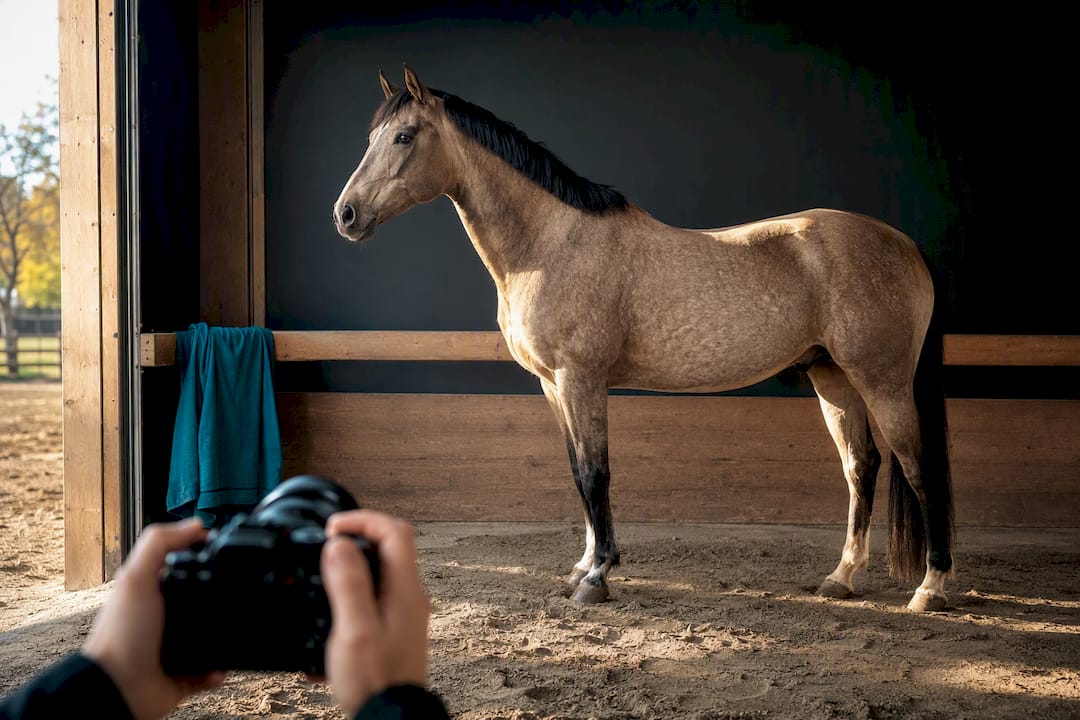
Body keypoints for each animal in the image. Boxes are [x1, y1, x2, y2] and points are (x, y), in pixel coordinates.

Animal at [332, 65, 955, 612]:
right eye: (371, 137)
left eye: (404, 136)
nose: (346, 214)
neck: (551, 244)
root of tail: (902, 244)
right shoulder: (553, 386)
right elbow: (577, 471)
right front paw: (583, 566)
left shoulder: (581, 378)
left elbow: (596, 472)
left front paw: (598, 577)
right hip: (832, 375)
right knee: (862, 466)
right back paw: (842, 576)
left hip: (881, 379)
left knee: (917, 464)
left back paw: (931, 588)